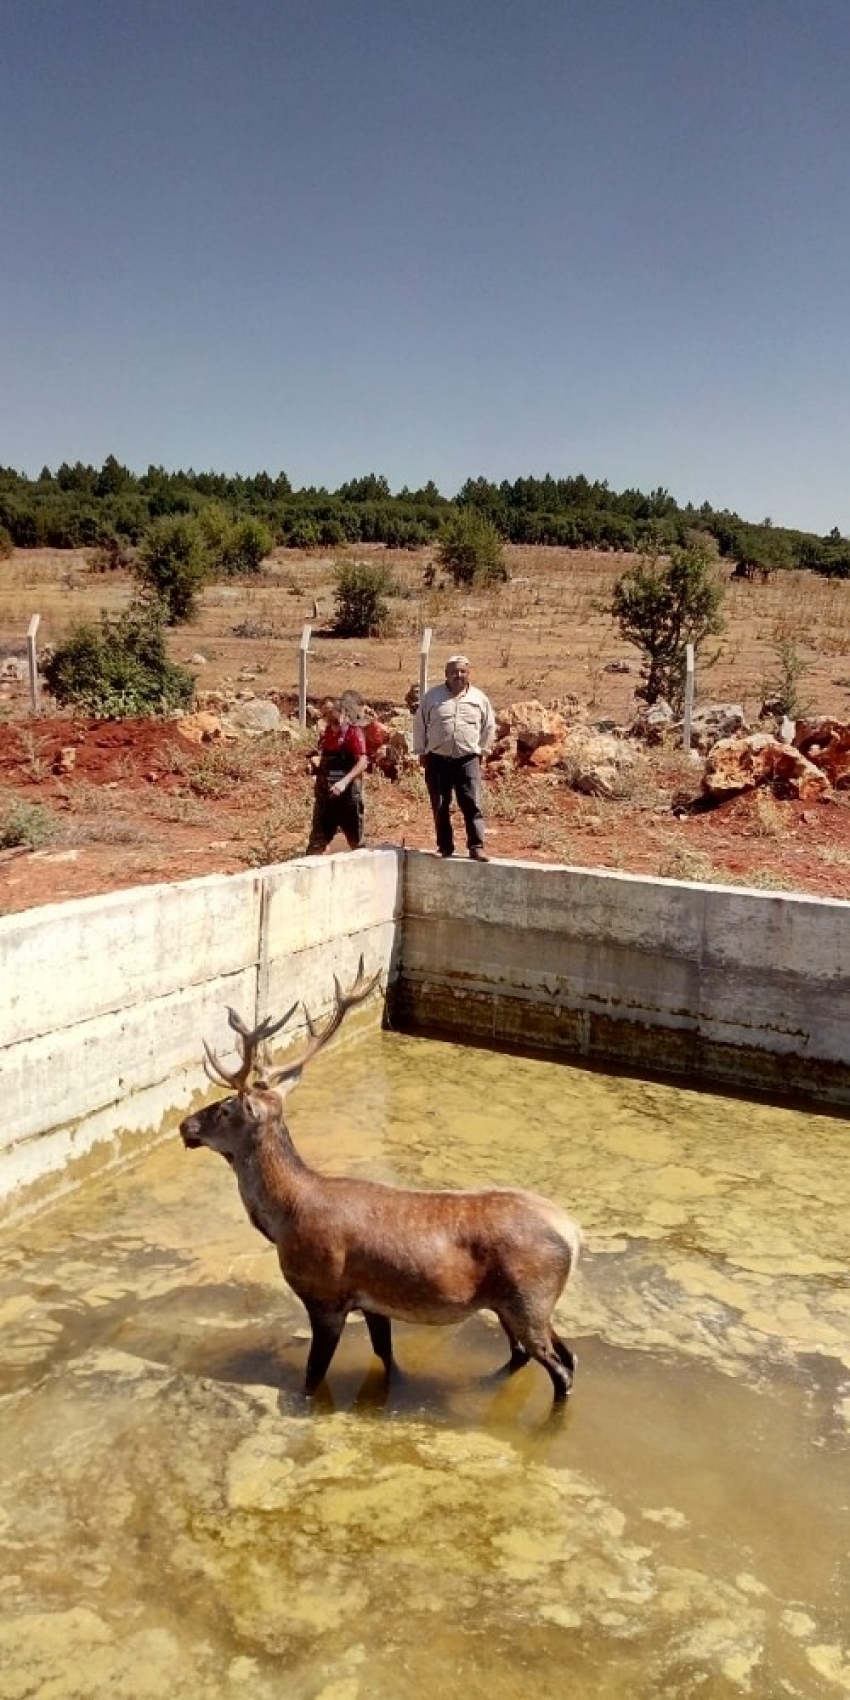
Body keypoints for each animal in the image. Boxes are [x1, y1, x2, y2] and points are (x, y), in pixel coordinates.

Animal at [177, 965, 578, 1400]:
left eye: (225, 1108)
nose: (185, 1125)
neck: (284, 1219)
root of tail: (573, 1232)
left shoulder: (326, 1295)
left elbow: (313, 1376)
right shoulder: (372, 1303)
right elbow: (386, 1356)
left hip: (529, 1298)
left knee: (560, 1367)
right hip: (517, 1306)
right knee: (547, 1354)